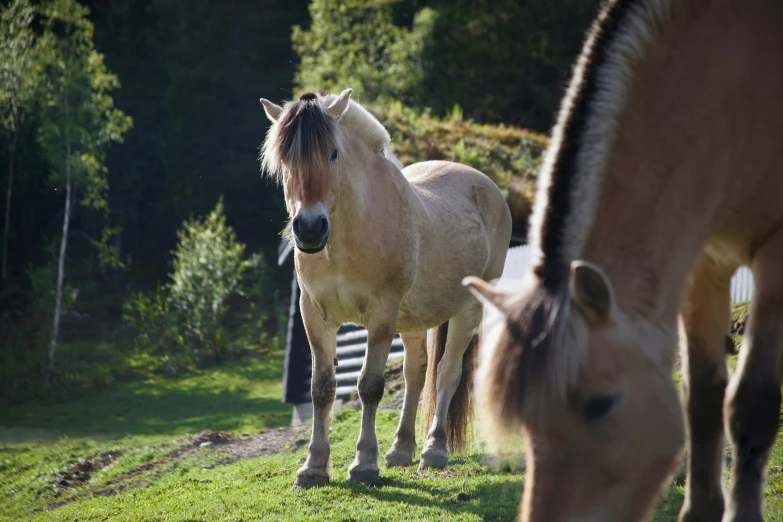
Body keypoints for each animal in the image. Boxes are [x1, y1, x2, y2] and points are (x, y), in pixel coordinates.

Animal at [258, 89, 516, 488]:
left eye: (334, 153)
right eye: (284, 159)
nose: (310, 228)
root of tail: (488, 189)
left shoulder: (381, 316)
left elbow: (369, 386)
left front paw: (364, 464)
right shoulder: (315, 317)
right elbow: (322, 388)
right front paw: (313, 468)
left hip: (467, 310)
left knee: (447, 372)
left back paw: (433, 451)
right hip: (413, 321)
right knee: (416, 373)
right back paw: (401, 450)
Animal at [462, 0, 783, 516]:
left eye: (600, 403)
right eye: (528, 417)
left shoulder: (776, 250)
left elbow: (751, 403)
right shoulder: (701, 261)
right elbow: (703, 399)